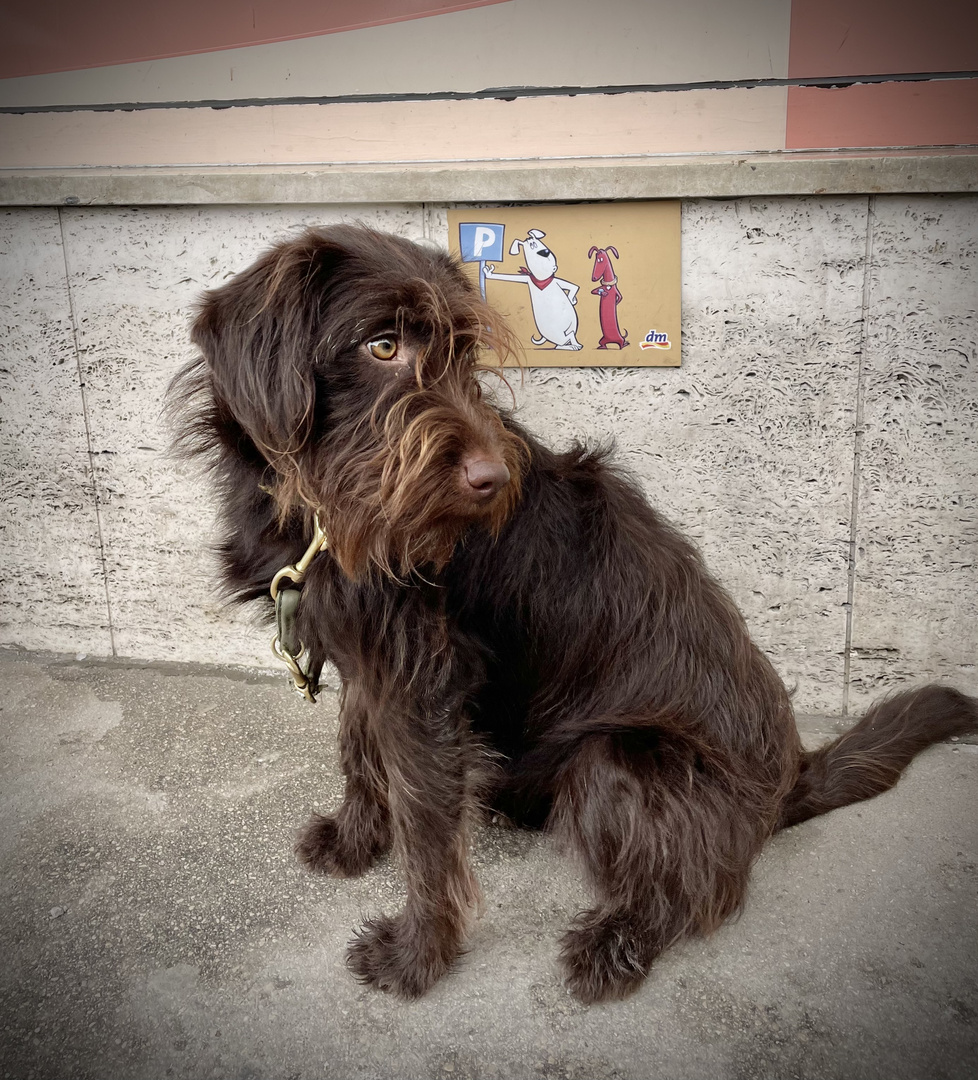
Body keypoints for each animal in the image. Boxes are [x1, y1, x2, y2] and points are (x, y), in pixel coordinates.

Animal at [169, 225, 975, 1002]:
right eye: (383, 346)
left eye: (464, 354)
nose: (493, 481)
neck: (319, 508)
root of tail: (787, 781)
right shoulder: (368, 658)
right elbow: (360, 752)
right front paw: (356, 842)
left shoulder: (421, 681)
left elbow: (426, 828)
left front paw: (418, 955)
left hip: (613, 759)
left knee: (702, 888)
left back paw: (616, 944)